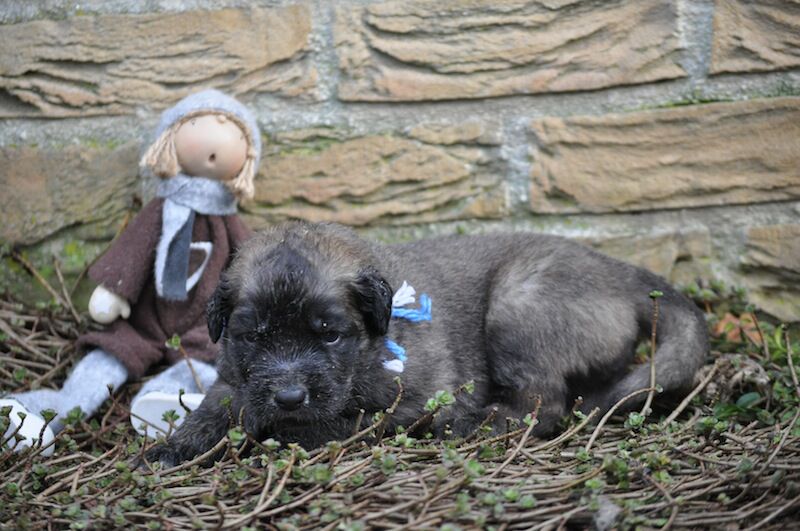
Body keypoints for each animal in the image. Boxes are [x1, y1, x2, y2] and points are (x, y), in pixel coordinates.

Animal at [145, 222, 707, 466]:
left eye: (329, 333)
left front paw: (281, 432)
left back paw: (479, 425)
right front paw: (174, 447)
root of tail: (624, 274)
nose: (287, 397)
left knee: (544, 405)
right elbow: (214, 409)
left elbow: (342, 423)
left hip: (517, 304)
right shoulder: (235, 379)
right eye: (253, 335)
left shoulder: (416, 399)